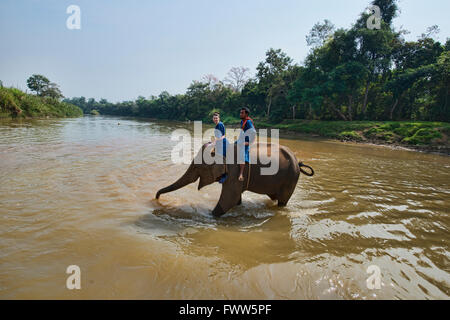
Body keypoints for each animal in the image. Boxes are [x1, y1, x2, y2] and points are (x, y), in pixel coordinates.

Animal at [155, 142, 312, 218]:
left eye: (198, 167)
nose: (156, 197)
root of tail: (298, 162)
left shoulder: (235, 172)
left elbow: (229, 199)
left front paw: (208, 216)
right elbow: (235, 199)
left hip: (291, 178)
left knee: (282, 201)